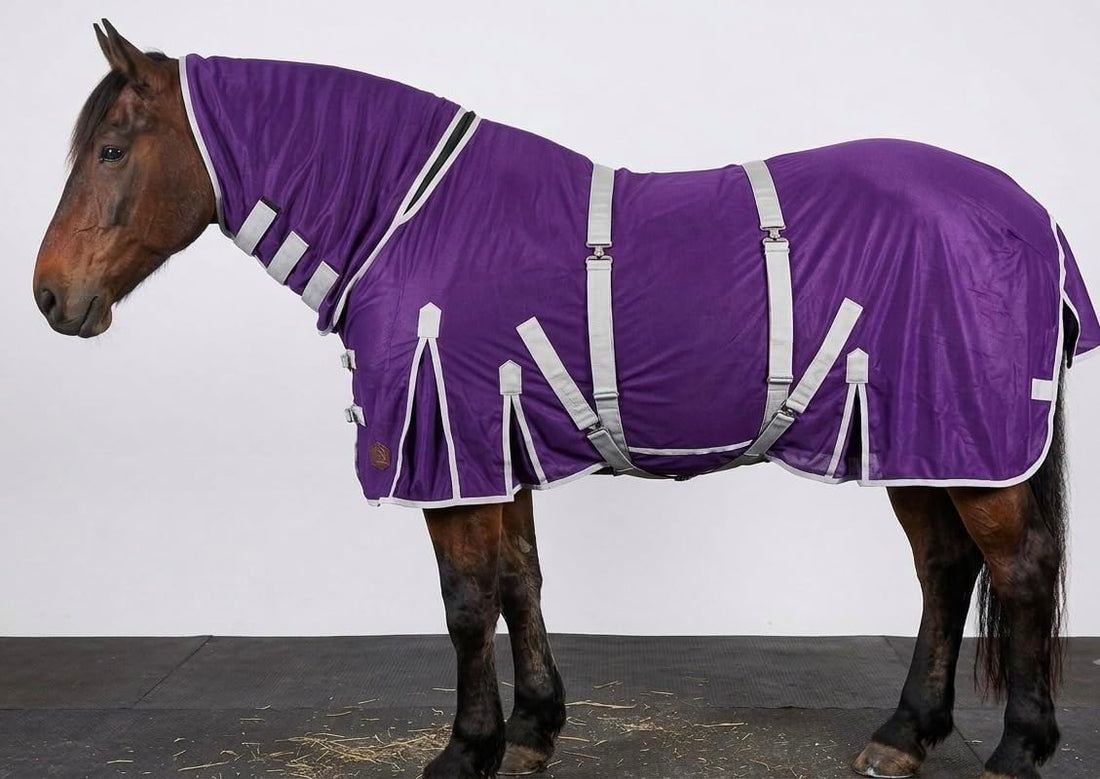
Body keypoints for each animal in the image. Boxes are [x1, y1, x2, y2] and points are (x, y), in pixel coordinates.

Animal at [32, 20, 1094, 779]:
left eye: (113, 150)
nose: (49, 296)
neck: (414, 217)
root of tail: (1034, 214)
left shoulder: (452, 447)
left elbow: (466, 601)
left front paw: (465, 749)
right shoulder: (497, 446)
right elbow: (520, 583)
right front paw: (533, 732)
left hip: (966, 443)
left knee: (1021, 570)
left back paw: (1016, 748)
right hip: (919, 440)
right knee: (946, 570)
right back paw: (905, 733)